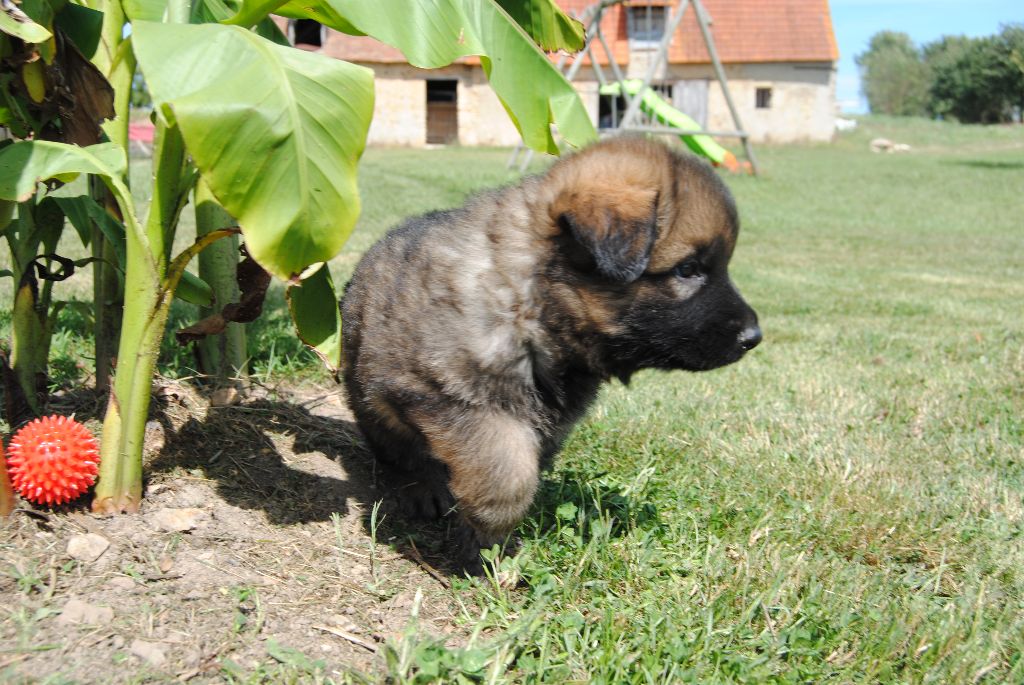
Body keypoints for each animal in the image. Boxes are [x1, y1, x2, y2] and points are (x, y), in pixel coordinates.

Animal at [341, 136, 761, 572]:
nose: (753, 336)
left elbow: (528, 461)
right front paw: (490, 539)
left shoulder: (555, 418)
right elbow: (506, 470)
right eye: (688, 269)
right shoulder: (444, 396)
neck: (530, 305)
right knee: (395, 447)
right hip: (370, 389)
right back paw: (421, 489)